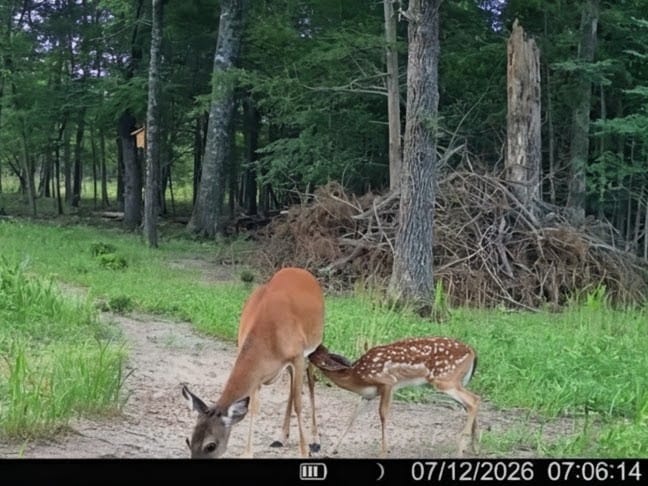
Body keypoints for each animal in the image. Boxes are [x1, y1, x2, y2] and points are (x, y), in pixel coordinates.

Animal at [182, 267, 325, 458]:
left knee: (310, 384)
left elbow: (298, 405)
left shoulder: (297, 356)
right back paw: (281, 437)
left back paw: (315, 441)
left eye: (211, 445)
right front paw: (247, 453)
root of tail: (301, 271)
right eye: (189, 441)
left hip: (313, 347)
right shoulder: (259, 373)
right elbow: (254, 408)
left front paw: (304, 452)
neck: (269, 334)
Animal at [308, 337, 480, 457]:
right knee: (471, 401)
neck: (356, 376)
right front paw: (331, 450)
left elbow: (383, 414)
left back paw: (460, 451)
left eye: (317, 352)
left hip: (444, 379)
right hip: (455, 381)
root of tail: (472, 351)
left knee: (473, 401)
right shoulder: (368, 395)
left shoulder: (388, 382)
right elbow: (352, 418)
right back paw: (474, 448)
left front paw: (383, 453)